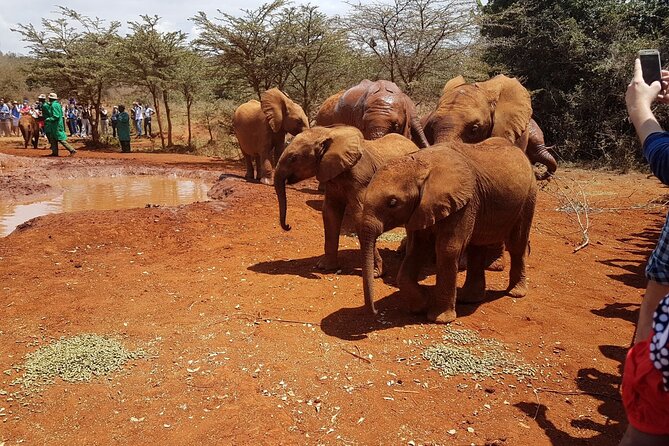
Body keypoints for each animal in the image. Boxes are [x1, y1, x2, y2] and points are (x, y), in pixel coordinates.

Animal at [272, 125, 418, 276]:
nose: (288, 226)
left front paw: (376, 273)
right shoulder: (331, 176)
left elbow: (360, 217)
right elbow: (330, 213)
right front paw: (325, 268)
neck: (329, 134)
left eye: (293, 158)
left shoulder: (360, 179)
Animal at [358, 138, 536, 322]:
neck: (421, 164)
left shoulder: (464, 204)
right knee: (477, 247)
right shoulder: (422, 208)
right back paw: (469, 299)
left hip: (528, 198)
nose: (374, 312)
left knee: (517, 245)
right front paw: (422, 304)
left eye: (393, 203)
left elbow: (448, 249)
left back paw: (515, 293)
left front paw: (440, 319)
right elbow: (417, 249)